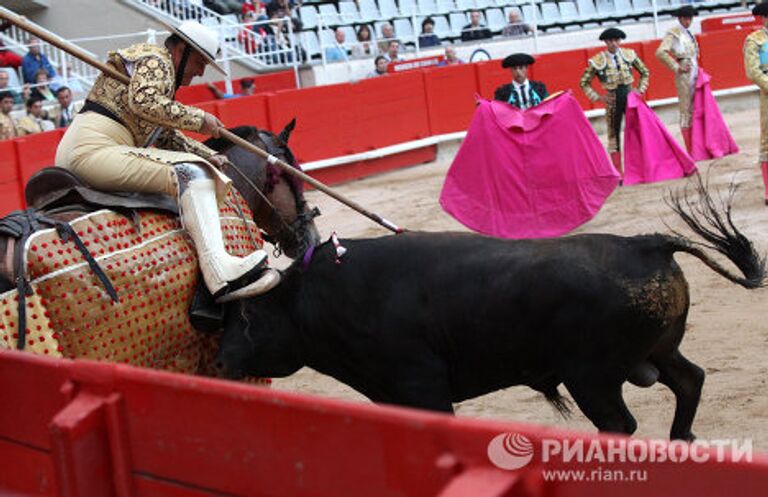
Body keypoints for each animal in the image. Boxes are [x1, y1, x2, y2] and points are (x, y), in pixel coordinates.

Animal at [216, 185, 760, 438]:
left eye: (251, 319)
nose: (218, 362)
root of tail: (646, 243)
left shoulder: (422, 385)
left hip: (593, 376)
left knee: (620, 425)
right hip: (656, 353)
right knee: (689, 380)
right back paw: (682, 439)